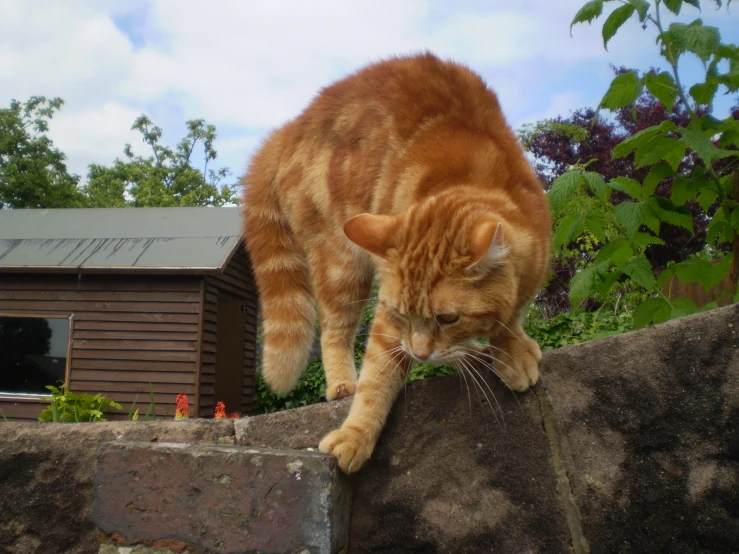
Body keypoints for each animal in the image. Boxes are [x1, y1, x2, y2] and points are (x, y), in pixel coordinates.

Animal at [243, 54, 548, 472]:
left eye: (448, 318)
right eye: (402, 313)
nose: (419, 354)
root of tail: (287, 129)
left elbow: (510, 318)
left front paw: (510, 348)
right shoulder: (388, 324)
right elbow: (377, 378)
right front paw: (356, 434)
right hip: (341, 267)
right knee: (333, 331)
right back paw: (342, 384)